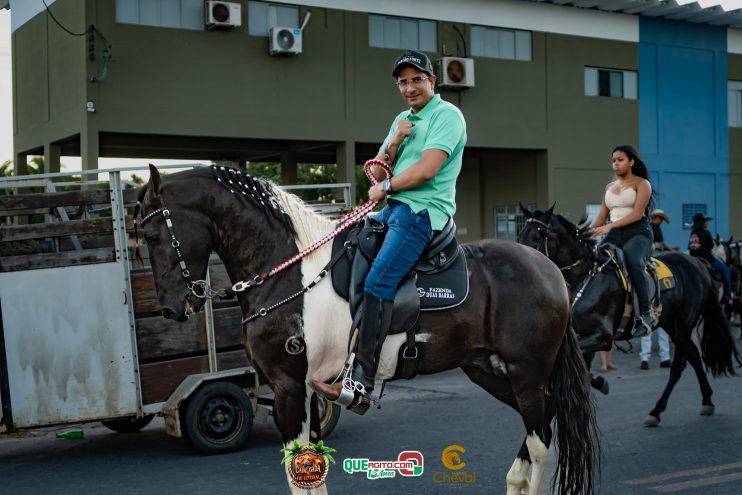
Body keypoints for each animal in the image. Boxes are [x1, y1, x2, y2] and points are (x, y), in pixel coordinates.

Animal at [135, 167, 600, 495]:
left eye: (154, 236)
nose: (172, 308)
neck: (290, 270)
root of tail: (550, 271)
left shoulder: (288, 386)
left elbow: (299, 471)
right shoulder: (308, 390)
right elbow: (313, 471)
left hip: (526, 370)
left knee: (541, 440)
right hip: (489, 369)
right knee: (543, 418)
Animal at [520, 207, 740, 428]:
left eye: (537, 237)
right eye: (520, 236)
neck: (585, 276)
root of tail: (698, 265)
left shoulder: (602, 337)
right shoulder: (583, 336)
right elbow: (582, 369)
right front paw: (598, 382)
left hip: (685, 321)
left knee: (679, 364)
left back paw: (657, 410)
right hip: (671, 322)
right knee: (694, 355)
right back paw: (707, 400)